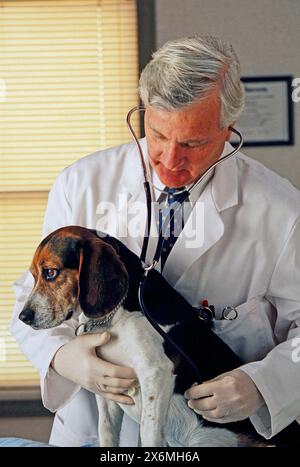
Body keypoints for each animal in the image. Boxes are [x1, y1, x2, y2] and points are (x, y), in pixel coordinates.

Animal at [19, 229, 272, 448]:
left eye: (51, 272)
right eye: (33, 276)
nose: (23, 317)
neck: (118, 314)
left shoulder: (156, 374)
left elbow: (148, 434)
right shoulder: (107, 389)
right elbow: (106, 432)